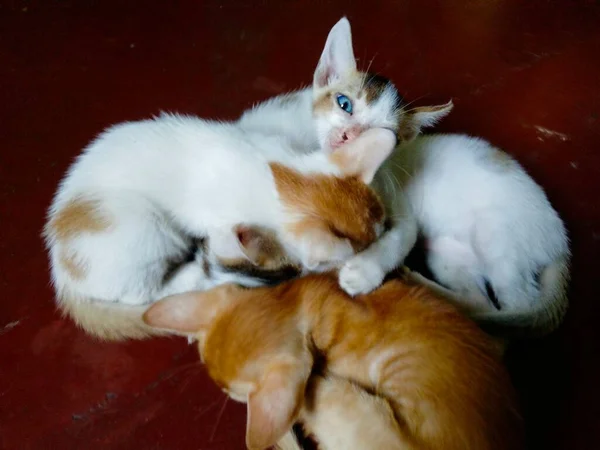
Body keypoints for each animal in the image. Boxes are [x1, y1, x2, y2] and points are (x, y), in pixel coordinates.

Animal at [239, 16, 568, 334]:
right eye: (344, 104)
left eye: (385, 133)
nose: (349, 136)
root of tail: (560, 240)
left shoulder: (399, 204)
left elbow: (398, 239)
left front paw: (363, 273)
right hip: (448, 254)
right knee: (479, 299)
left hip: (498, 240)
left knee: (519, 305)